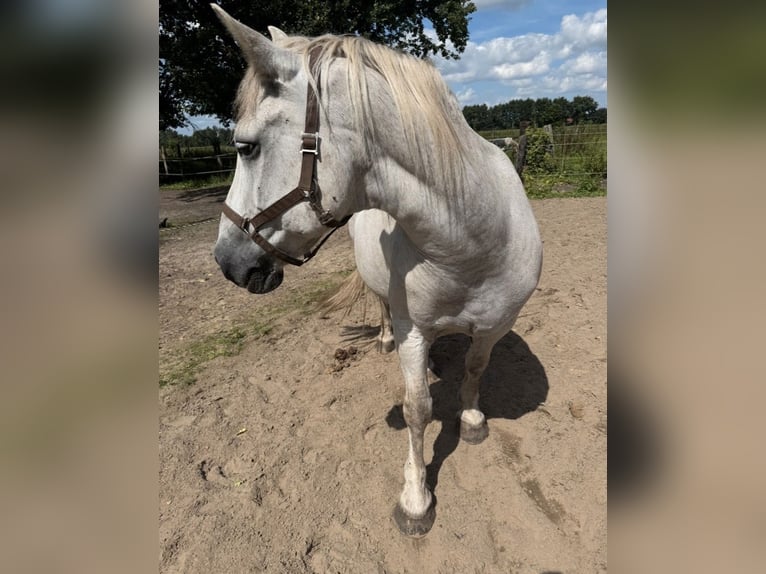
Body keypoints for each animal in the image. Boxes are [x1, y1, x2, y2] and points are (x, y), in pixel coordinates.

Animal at [210, 5, 543, 537]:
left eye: (246, 147)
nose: (227, 262)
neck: (473, 242)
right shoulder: (414, 330)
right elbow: (417, 408)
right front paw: (415, 499)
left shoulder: (496, 323)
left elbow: (475, 368)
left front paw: (472, 420)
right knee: (383, 303)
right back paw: (384, 339)